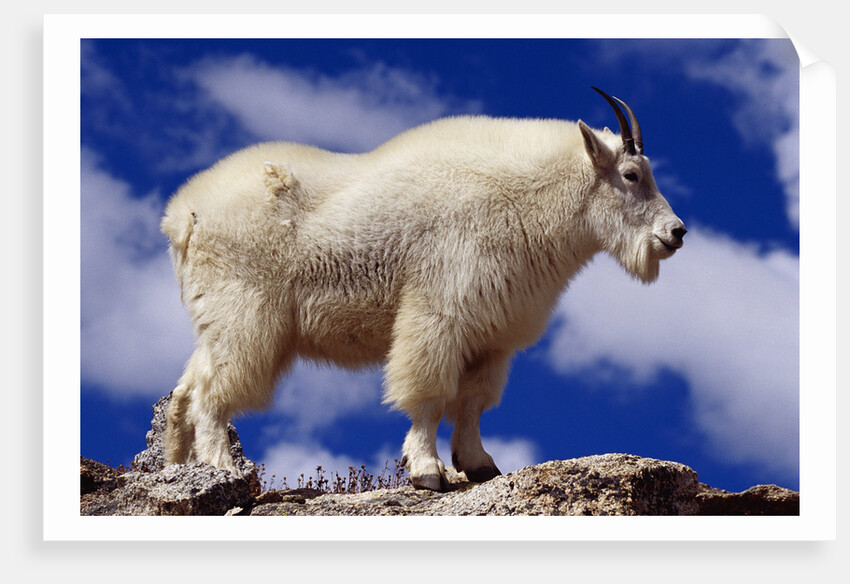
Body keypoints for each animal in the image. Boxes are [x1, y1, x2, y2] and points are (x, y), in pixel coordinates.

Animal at [161, 87, 686, 491]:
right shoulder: (439, 313)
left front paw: (479, 464)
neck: (527, 199)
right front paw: (427, 470)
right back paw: (223, 469)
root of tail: (182, 215)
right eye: (631, 175)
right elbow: (429, 394)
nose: (676, 233)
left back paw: (178, 470)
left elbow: (473, 403)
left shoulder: (493, 335)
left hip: (216, 319)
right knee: (211, 394)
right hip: (244, 316)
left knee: (185, 391)